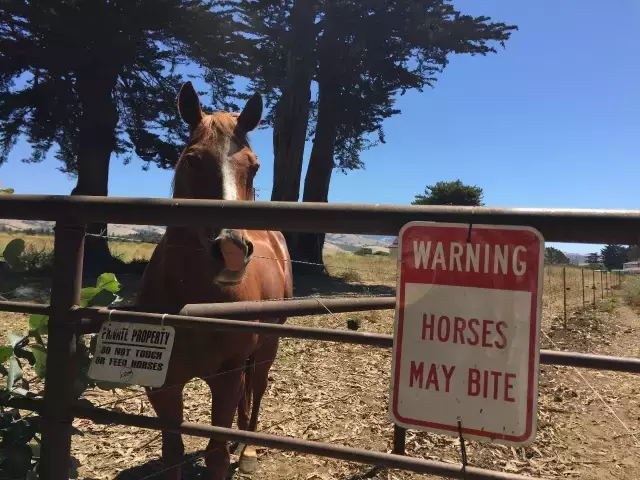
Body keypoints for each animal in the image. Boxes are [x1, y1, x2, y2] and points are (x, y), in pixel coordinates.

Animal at [138, 82, 296, 480]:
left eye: (254, 167)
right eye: (192, 159)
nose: (231, 248)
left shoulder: (226, 378)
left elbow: (216, 456)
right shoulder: (163, 384)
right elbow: (172, 453)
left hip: (266, 349)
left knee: (257, 390)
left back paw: (249, 449)